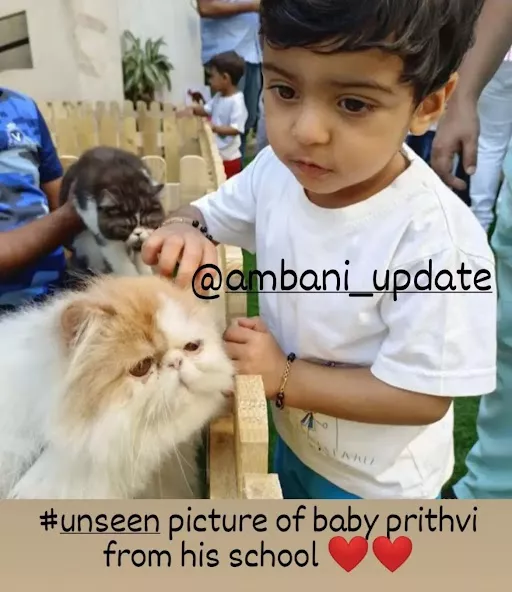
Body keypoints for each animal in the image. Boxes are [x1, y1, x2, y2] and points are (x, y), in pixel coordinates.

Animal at [60, 146, 166, 278]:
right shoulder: (97, 226)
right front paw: (133, 278)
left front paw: (146, 275)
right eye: (125, 227)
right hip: (86, 245)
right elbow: (121, 262)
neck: (126, 182)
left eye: (147, 223)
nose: (138, 233)